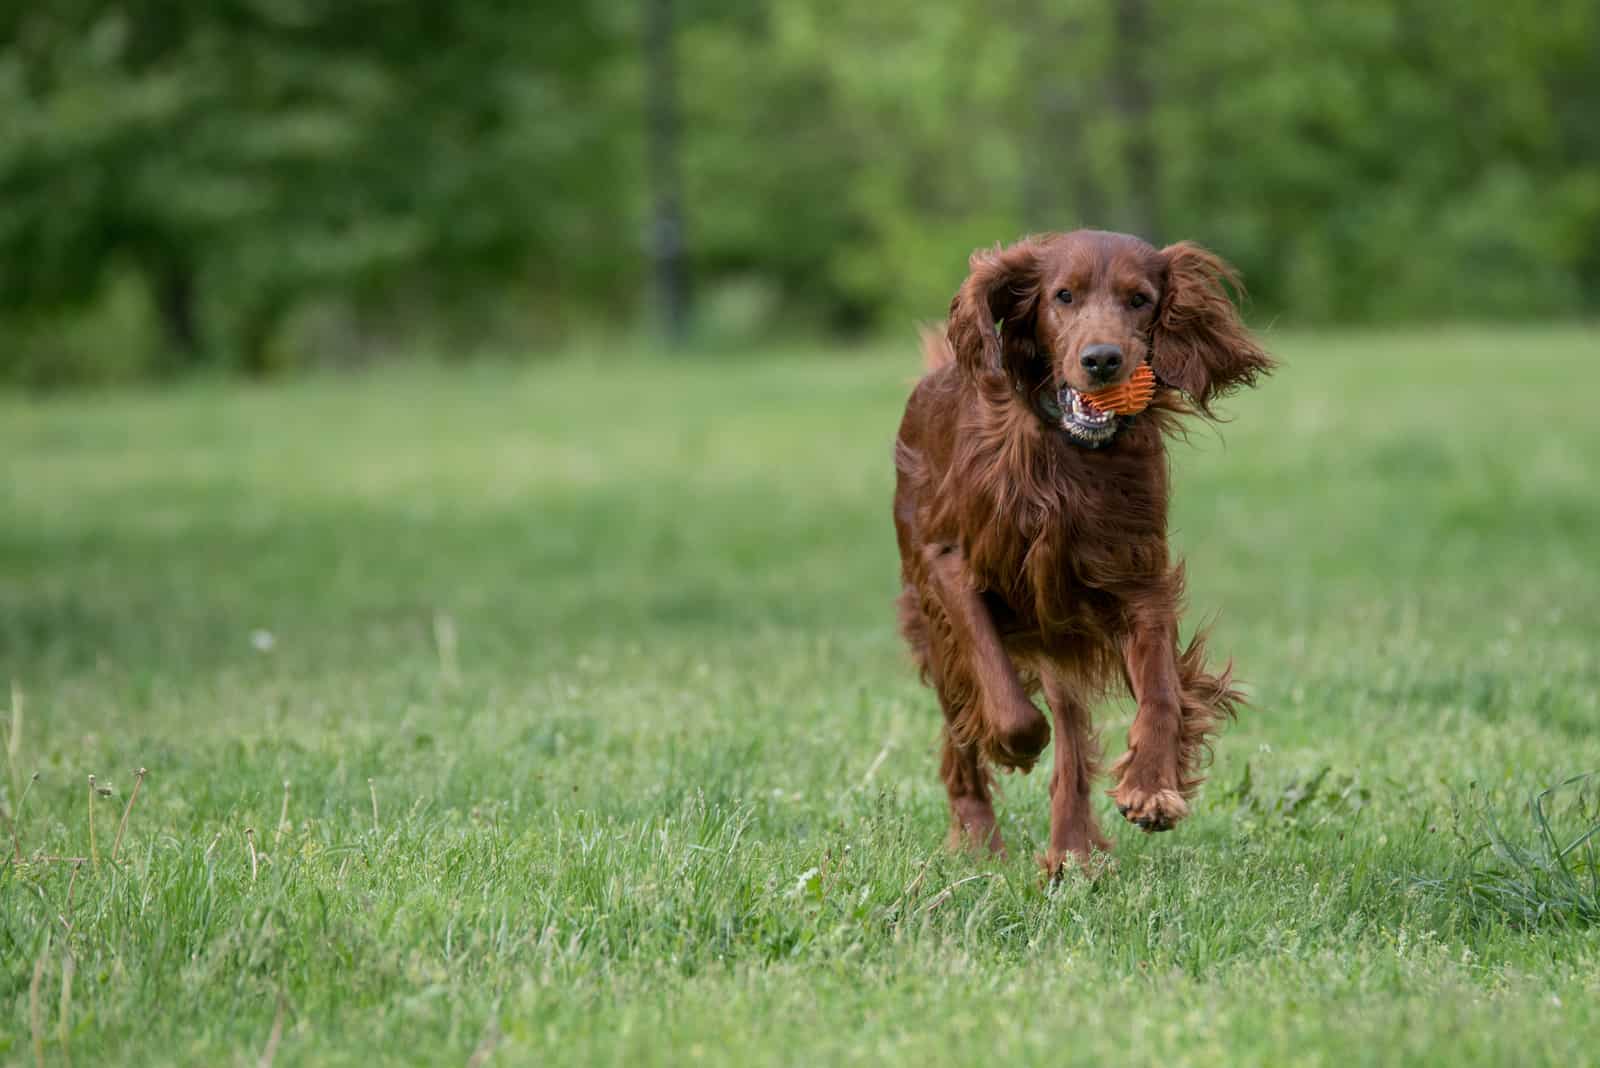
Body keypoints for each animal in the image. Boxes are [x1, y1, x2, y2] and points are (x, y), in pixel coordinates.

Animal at [889, 227, 1273, 876]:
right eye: (1062, 296)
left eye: (1140, 299)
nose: (1102, 359)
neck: (1067, 454)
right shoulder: (950, 567)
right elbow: (1004, 697)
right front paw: (1014, 746)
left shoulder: (1136, 579)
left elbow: (1162, 692)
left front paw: (1151, 785)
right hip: (937, 627)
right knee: (961, 729)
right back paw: (978, 836)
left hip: (1059, 632)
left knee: (1069, 738)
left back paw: (1069, 848)